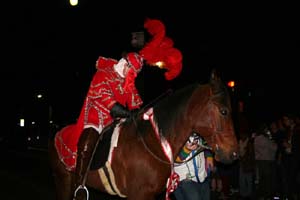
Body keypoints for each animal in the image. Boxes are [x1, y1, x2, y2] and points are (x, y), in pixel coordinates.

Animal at [48, 69, 238, 200]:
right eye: (223, 111)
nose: (234, 154)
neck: (150, 143)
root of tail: (58, 133)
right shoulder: (138, 195)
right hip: (63, 181)